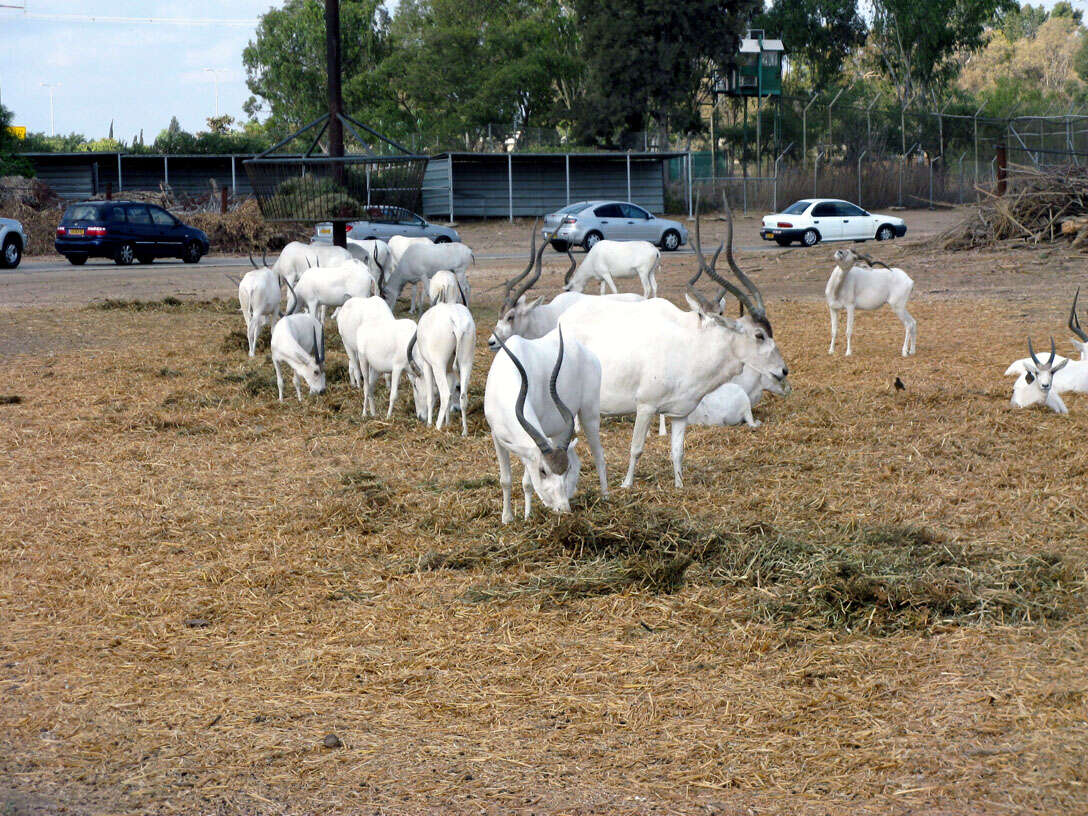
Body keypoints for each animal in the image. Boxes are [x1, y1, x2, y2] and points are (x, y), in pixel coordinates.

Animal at [409, 302, 474, 435]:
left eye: (415, 385)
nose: (420, 417)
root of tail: (456, 321)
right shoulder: (449, 370)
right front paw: (447, 423)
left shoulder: (427, 365)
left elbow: (430, 397)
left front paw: (429, 424)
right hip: (466, 362)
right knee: (463, 396)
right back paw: (464, 432)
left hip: (438, 366)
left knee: (445, 394)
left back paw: (437, 427)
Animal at [487, 328, 609, 524]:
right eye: (543, 471)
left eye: (564, 470)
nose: (564, 509)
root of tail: (586, 352)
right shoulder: (496, 436)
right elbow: (505, 480)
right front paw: (507, 518)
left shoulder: (531, 445)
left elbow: (527, 483)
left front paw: (527, 516)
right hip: (559, 432)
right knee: (576, 459)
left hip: (589, 414)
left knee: (598, 455)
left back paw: (605, 496)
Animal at [561, 199, 792, 489]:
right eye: (759, 335)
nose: (783, 370)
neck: (690, 348)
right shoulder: (645, 406)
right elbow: (636, 448)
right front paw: (626, 485)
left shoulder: (680, 414)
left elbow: (677, 450)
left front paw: (679, 485)